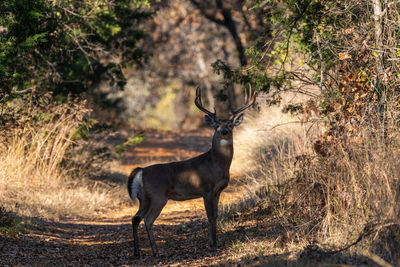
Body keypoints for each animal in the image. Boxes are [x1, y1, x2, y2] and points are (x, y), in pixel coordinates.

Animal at [126, 86, 255, 258]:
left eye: (231, 124)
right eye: (216, 125)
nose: (224, 131)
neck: (216, 164)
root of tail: (141, 171)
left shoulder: (218, 191)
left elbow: (215, 215)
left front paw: (215, 241)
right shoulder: (207, 189)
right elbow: (210, 216)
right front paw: (213, 243)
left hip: (144, 198)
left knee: (135, 218)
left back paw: (137, 252)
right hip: (158, 196)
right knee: (147, 220)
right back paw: (155, 252)